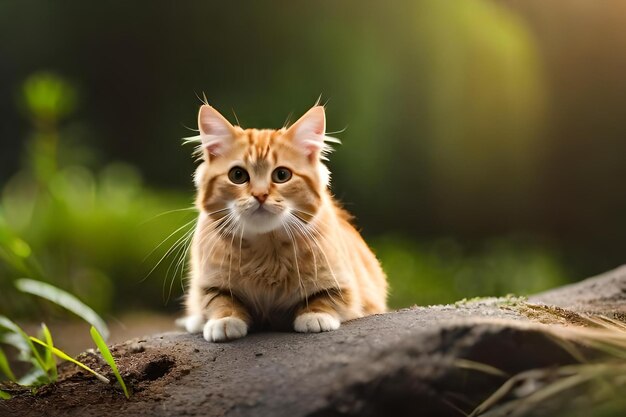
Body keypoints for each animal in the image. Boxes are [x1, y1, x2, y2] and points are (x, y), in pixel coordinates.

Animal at [179, 103, 386, 342]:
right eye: (237, 175)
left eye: (282, 175)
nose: (260, 195)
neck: (265, 250)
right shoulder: (207, 283)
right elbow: (218, 300)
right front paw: (224, 320)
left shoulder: (347, 286)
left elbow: (326, 298)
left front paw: (315, 316)